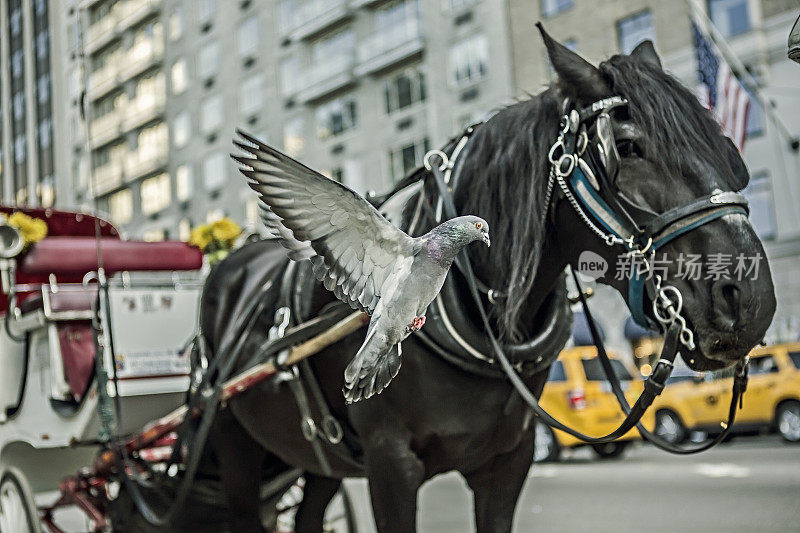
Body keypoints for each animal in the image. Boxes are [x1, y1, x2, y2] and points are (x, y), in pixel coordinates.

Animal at [198, 30, 776, 532]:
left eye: (726, 144)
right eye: (627, 147)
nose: (751, 303)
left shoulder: (509, 461)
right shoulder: (390, 464)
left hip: (316, 463)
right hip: (235, 449)